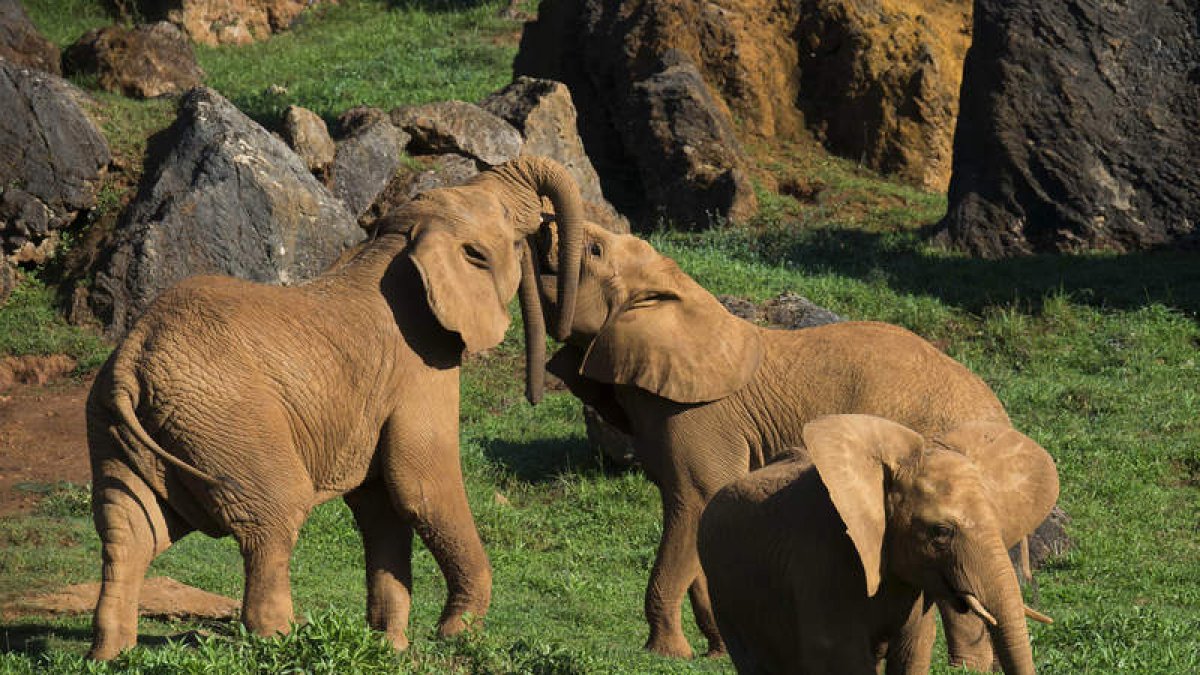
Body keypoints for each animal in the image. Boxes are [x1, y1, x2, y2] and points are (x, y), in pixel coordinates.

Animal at [85, 156, 586, 660]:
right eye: (512, 229)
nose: (540, 388)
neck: (401, 243)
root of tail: (133, 356)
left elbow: (381, 503)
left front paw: (390, 647)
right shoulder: (421, 366)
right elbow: (420, 485)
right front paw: (455, 635)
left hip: (120, 428)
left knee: (131, 527)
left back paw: (112, 655)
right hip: (223, 416)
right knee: (273, 514)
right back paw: (282, 643)